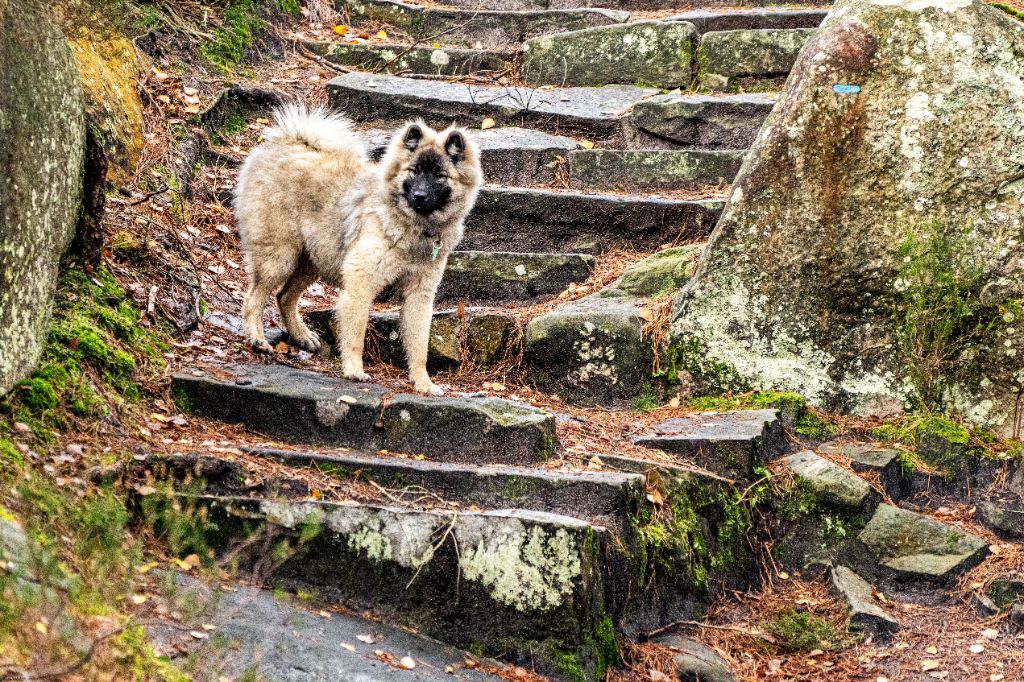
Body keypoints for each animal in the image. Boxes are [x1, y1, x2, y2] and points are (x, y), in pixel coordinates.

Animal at [234, 104, 481, 393]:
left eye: (439, 175)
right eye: (414, 170)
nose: (419, 196)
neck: (413, 226)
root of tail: (284, 142)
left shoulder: (419, 296)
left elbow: (420, 346)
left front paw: (423, 382)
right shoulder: (361, 282)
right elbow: (356, 333)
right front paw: (354, 370)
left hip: (312, 261)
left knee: (284, 297)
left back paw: (301, 336)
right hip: (280, 257)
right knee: (253, 298)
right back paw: (257, 338)